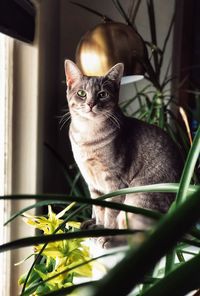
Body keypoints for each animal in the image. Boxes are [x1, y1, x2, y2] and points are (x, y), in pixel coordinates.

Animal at [64, 59, 183, 247]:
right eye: (82, 93)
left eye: (102, 94)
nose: (90, 104)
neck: (88, 136)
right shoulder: (93, 184)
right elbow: (99, 208)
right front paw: (98, 226)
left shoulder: (115, 182)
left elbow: (110, 213)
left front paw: (104, 233)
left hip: (137, 199)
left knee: (136, 235)